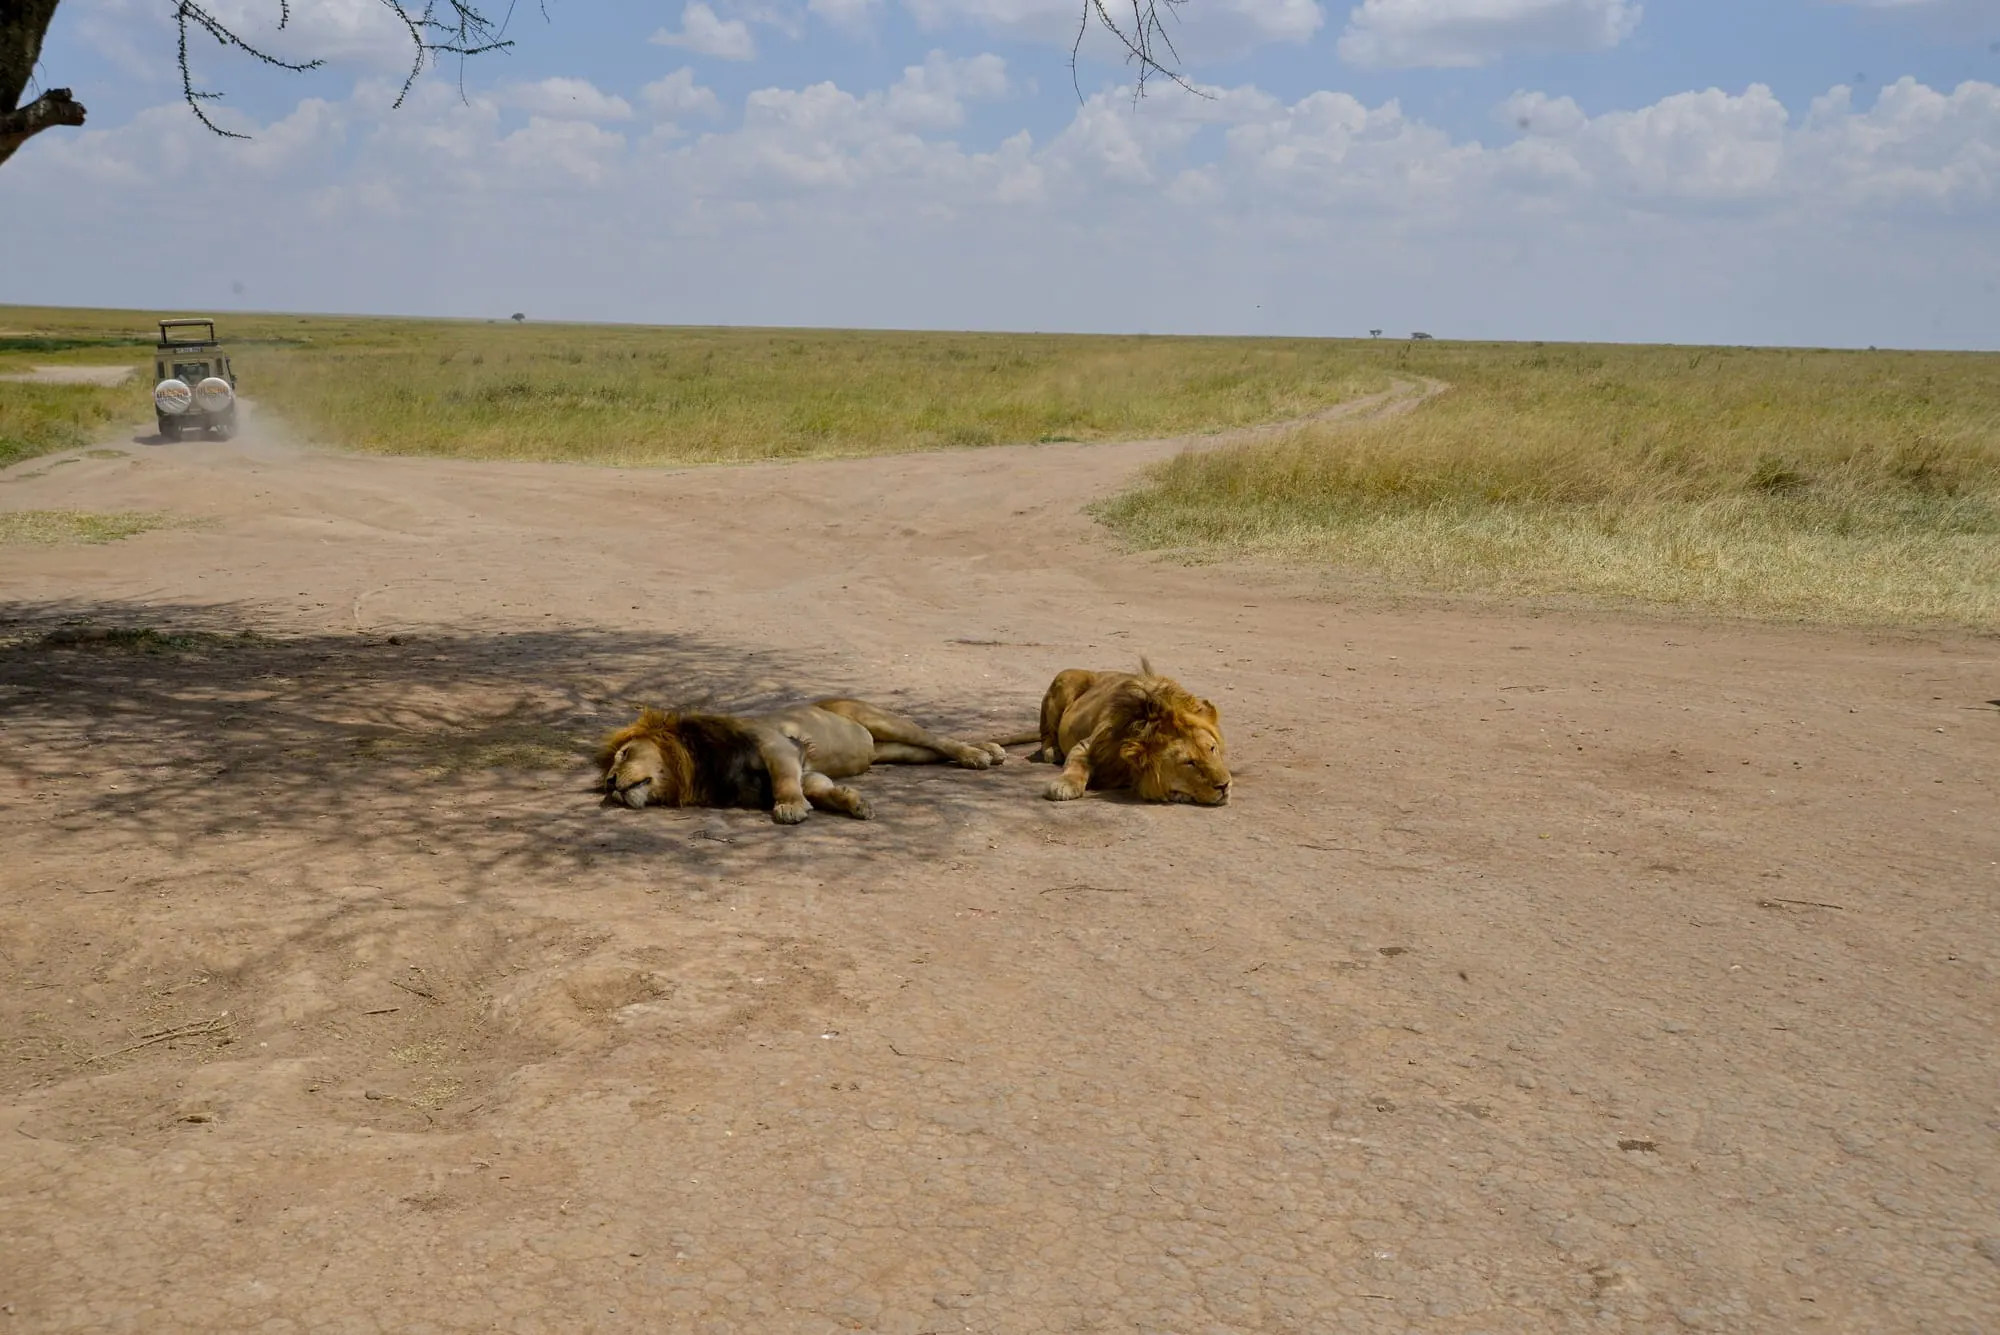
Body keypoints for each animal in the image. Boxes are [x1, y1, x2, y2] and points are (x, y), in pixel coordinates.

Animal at [597, 698, 1015, 824]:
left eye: (624, 754)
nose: (609, 783)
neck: (699, 764)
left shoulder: (779, 745)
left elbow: (785, 780)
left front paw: (790, 808)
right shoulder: (805, 771)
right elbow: (819, 788)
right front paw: (854, 802)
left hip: (879, 718)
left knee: (939, 740)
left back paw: (979, 754)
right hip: (892, 750)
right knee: (930, 752)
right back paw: (990, 749)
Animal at [1031, 659, 1230, 805]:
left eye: (1212, 749)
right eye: (1189, 763)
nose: (1225, 785)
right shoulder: (1088, 745)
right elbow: (1076, 764)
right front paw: (1064, 784)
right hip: (1066, 678)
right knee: (1046, 734)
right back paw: (1052, 751)